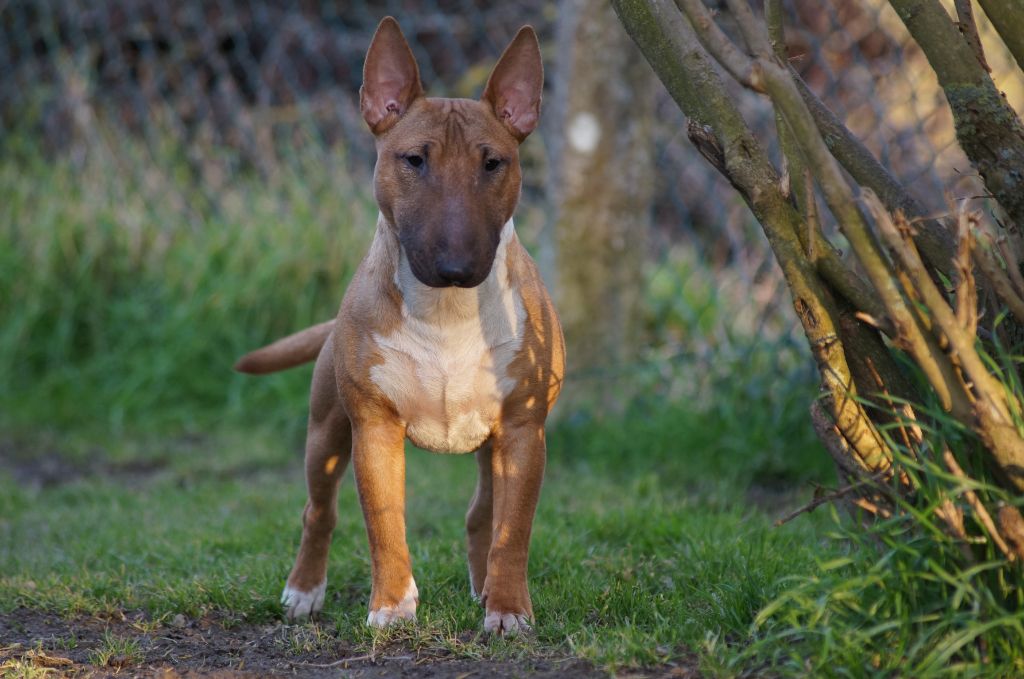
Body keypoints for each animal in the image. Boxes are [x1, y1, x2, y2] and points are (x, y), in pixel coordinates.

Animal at [234, 15, 565, 634]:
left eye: (493, 163)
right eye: (414, 160)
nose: (456, 266)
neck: (446, 312)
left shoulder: (522, 430)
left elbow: (513, 531)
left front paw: (509, 611)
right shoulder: (375, 428)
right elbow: (384, 525)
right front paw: (391, 606)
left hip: (491, 445)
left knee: (482, 512)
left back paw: (485, 587)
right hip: (326, 431)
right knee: (318, 508)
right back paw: (303, 591)